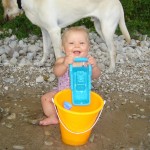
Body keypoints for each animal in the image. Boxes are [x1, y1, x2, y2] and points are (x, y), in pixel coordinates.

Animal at [2, 0, 130, 71]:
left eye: (4, 6)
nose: (4, 19)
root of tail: (118, 2)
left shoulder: (54, 31)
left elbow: (57, 54)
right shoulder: (45, 31)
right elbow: (45, 50)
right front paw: (41, 63)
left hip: (106, 29)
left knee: (113, 50)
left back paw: (111, 68)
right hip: (100, 29)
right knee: (112, 48)